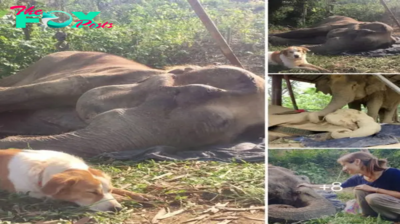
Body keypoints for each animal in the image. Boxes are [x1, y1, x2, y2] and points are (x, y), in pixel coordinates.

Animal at [0, 149, 158, 212]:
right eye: (92, 193)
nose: (117, 209)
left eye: (109, 189)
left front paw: (139, 195)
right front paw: (126, 199)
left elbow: (119, 190)